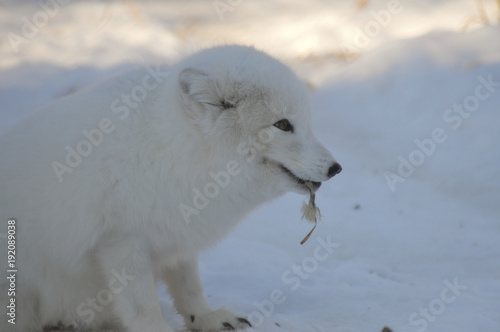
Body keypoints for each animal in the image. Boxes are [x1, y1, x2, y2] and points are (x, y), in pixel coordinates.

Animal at [0, 45, 340, 330]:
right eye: (283, 125)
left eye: (306, 123)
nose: (336, 169)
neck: (172, 150)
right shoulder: (122, 243)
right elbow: (142, 307)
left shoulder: (178, 234)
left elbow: (189, 286)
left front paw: (206, 318)